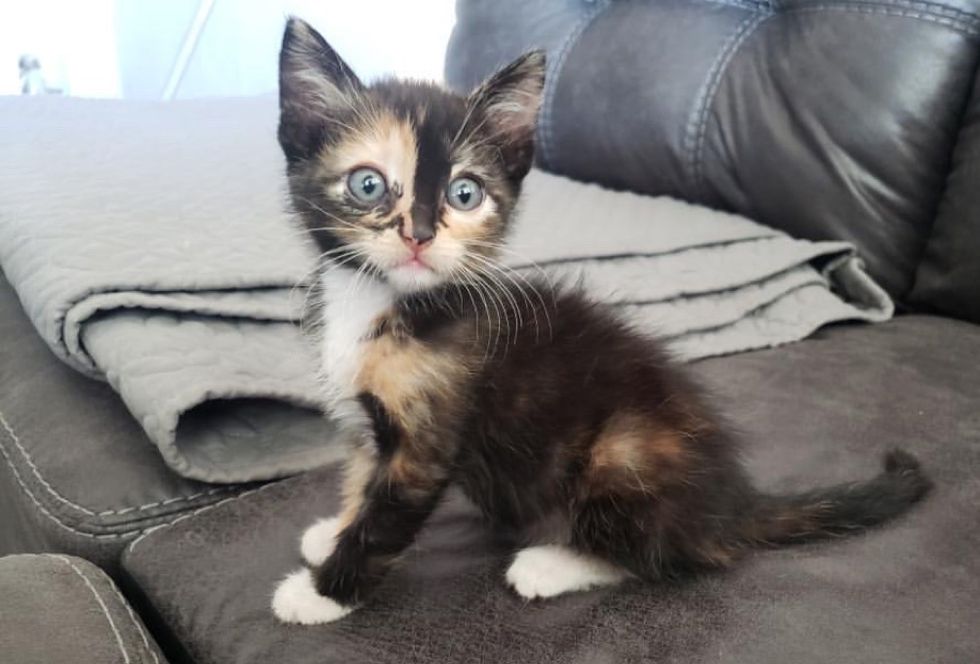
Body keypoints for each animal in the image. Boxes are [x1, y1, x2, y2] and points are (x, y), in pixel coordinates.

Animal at [272, 18, 932, 624]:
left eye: (465, 194)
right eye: (368, 184)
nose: (420, 235)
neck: (381, 301)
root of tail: (730, 504)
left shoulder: (426, 440)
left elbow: (384, 519)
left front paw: (322, 591)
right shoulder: (370, 425)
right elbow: (362, 479)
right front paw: (333, 531)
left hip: (624, 449)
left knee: (672, 555)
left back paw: (553, 562)